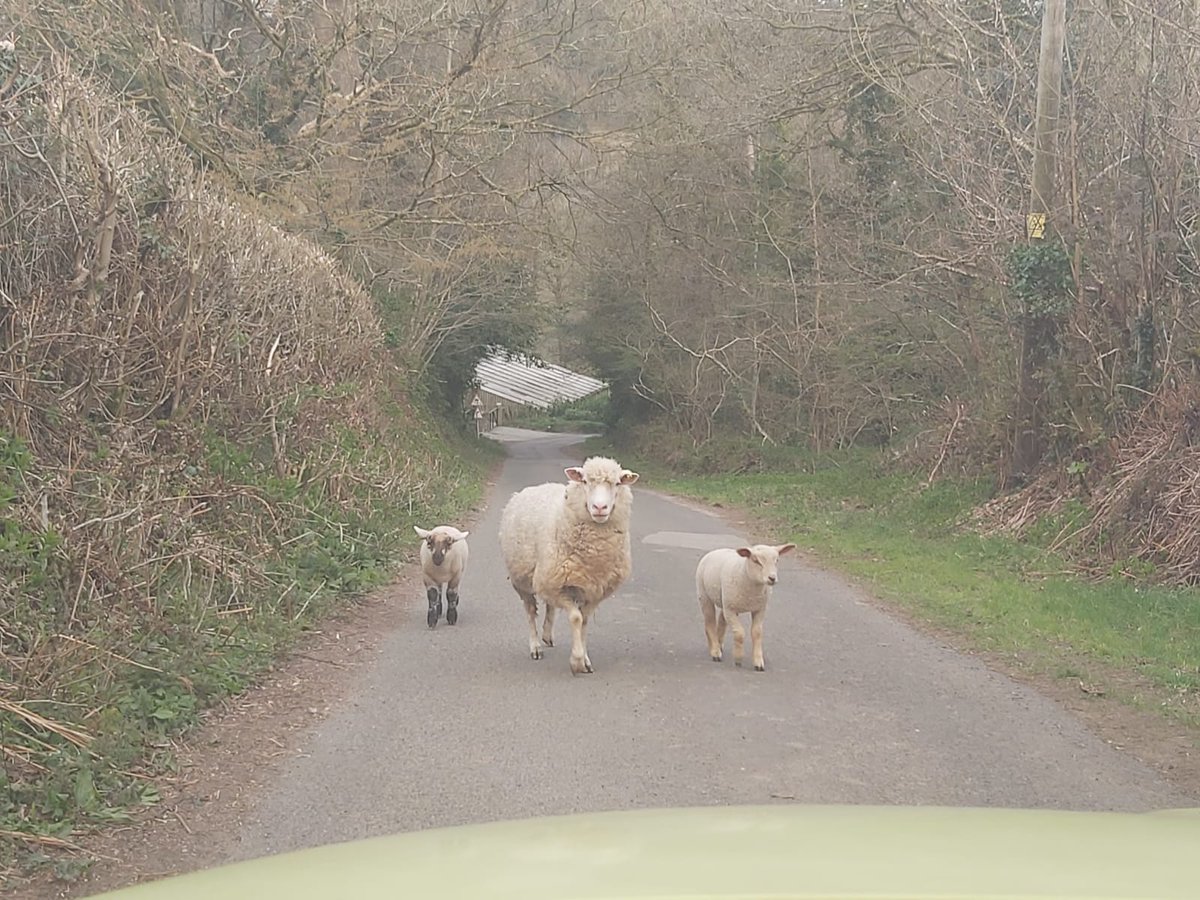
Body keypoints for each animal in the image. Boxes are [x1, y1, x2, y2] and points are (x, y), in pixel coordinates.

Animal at [499, 456, 639, 675]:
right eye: (585, 481)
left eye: (617, 483)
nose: (600, 507)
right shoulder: (560, 587)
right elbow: (576, 619)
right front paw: (577, 661)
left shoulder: (594, 590)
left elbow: (585, 622)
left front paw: (586, 660)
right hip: (523, 579)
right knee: (530, 611)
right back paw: (535, 647)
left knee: (549, 606)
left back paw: (547, 635)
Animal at [696, 542, 796, 671]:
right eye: (756, 560)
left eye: (777, 560)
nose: (772, 578)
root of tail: (716, 550)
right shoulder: (731, 610)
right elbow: (739, 633)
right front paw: (738, 659)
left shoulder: (760, 609)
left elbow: (757, 633)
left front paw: (758, 662)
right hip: (704, 595)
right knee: (710, 623)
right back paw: (715, 651)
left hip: (726, 601)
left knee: (721, 621)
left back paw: (718, 644)